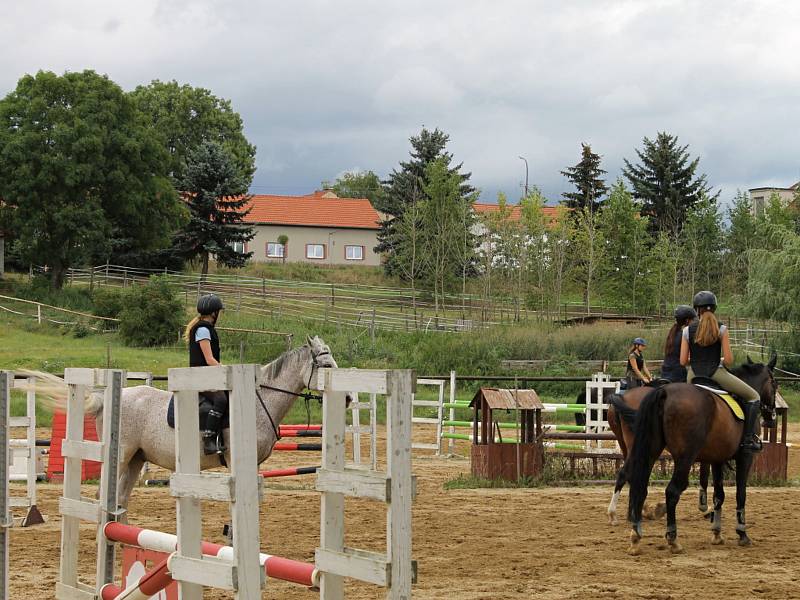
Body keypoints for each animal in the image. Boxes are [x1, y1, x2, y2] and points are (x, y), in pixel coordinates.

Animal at [84, 336, 344, 508]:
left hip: (137, 458)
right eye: (326, 366)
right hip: (123, 456)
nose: (348, 398)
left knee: (121, 498)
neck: (256, 402)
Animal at [624, 358, 776, 556]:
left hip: (651, 451)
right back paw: (673, 540)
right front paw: (742, 534)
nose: (772, 418)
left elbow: (719, 495)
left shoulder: (718, 459)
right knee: (672, 491)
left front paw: (717, 533)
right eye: (774, 383)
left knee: (640, 488)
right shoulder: (746, 458)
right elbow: (740, 494)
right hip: (685, 458)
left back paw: (635, 538)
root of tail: (664, 391)